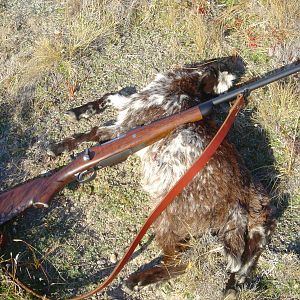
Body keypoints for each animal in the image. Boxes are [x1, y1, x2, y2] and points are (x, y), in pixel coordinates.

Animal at [48, 56, 276, 298]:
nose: (234, 70)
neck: (182, 87)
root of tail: (241, 203)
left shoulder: (125, 125)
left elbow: (95, 132)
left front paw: (60, 147)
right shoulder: (128, 110)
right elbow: (110, 98)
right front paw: (80, 111)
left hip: (168, 218)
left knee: (181, 262)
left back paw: (137, 281)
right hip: (255, 220)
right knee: (250, 250)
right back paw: (236, 281)